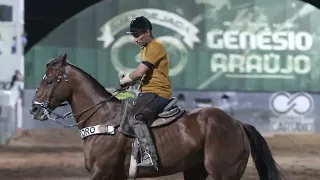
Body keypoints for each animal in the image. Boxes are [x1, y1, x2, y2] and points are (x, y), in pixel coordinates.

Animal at [29, 53, 284, 180]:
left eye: (49, 80)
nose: (34, 109)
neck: (103, 118)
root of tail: (237, 124)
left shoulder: (101, 171)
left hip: (224, 173)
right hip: (195, 171)